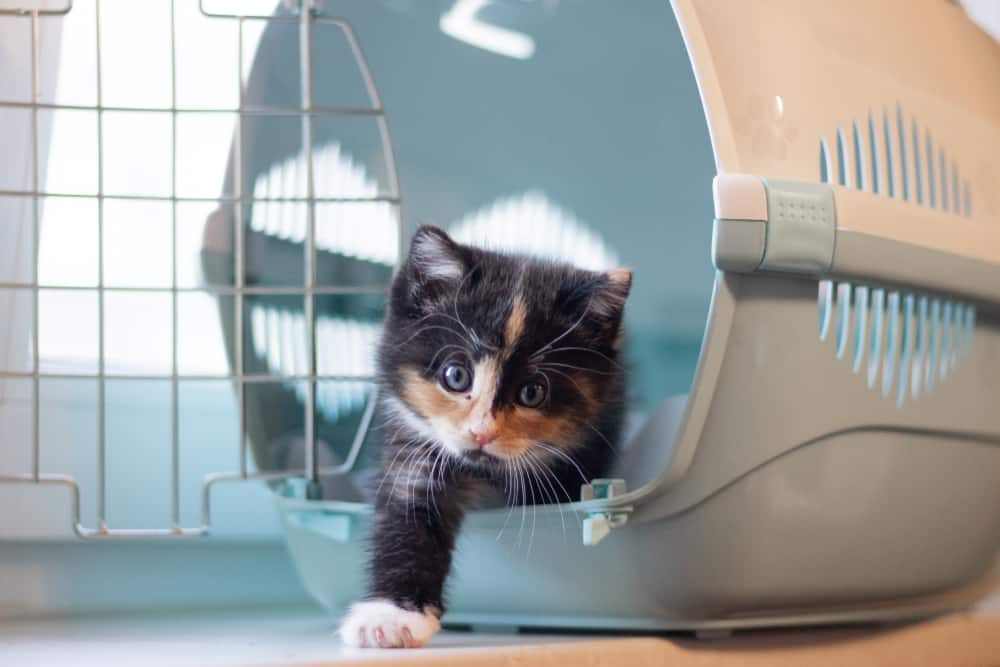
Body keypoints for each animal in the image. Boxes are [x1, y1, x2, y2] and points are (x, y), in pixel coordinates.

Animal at [340, 224, 628, 648]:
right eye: (456, 376)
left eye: (532, 393)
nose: (482, 432)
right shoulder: (415, 443)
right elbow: (408, 513)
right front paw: (390, 616)